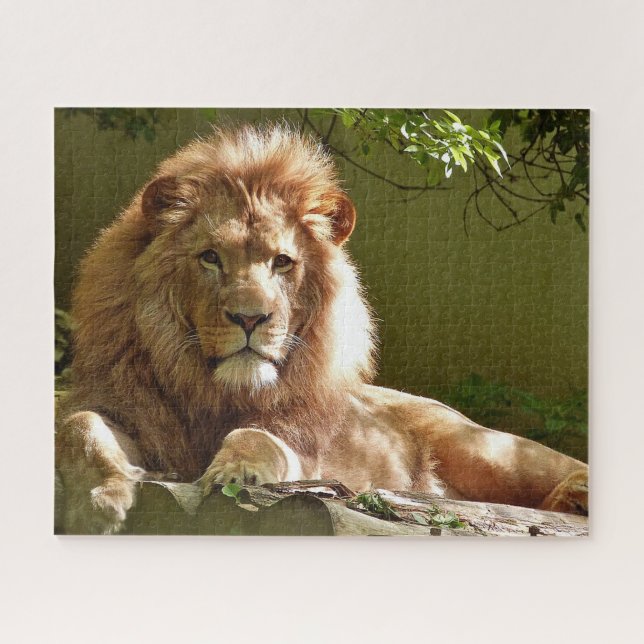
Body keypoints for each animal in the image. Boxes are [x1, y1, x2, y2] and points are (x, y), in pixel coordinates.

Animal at [55, 124, 588, 534]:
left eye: (282, 262)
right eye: (210, 258)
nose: (250, 318)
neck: (215, 393)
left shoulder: (304, 450)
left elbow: (257, 437)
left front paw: (237, 472)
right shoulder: (129, 411)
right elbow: (79, 426)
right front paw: (102, 499)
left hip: (487, 449)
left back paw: (575, 496)